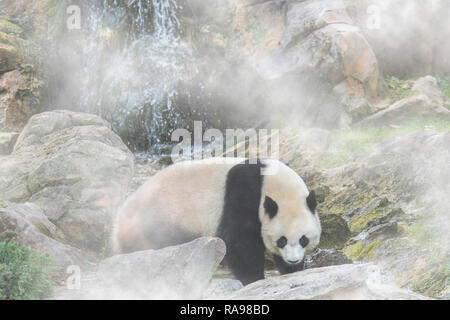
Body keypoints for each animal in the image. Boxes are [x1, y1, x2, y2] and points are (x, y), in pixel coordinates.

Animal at [114, 158, 322, 284]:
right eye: (282, 240)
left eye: (304, 239)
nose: (293, 260)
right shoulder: (243, 196)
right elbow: (239, 242)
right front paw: (254, 278)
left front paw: (292, 271)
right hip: (161, 219)